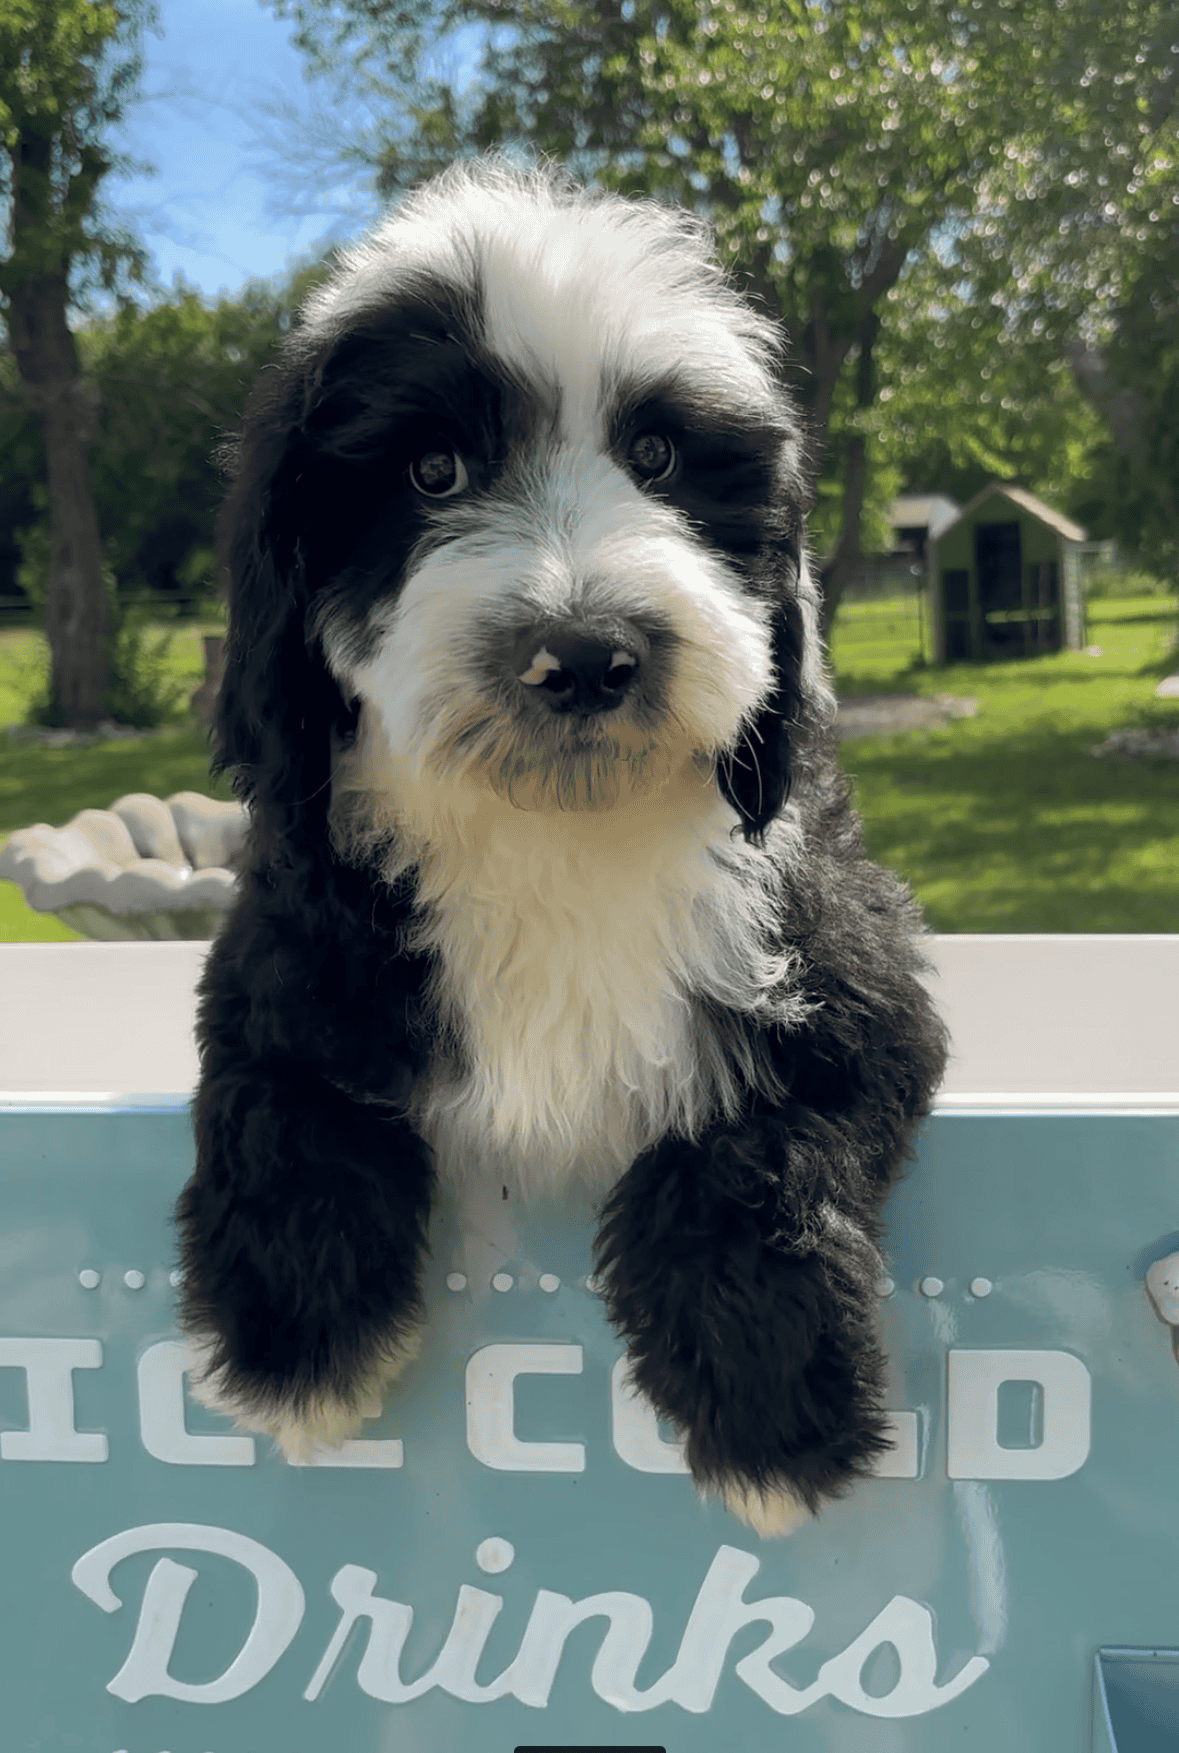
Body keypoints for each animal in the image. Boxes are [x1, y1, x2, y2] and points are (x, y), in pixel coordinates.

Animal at [176, 161, 946, 1535]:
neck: (553, 832)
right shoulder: (284, 943)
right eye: (432, 471)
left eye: (658, 455)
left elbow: (757, 1139)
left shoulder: (849, 952)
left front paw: (772, 1413)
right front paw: (294, 1340)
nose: (586, 654)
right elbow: (286, 1098)